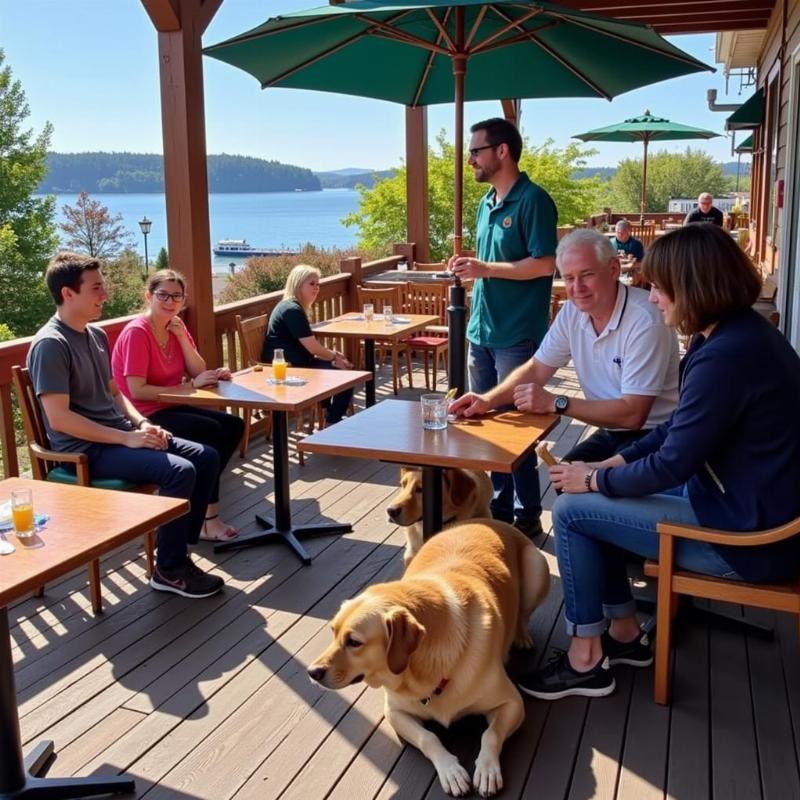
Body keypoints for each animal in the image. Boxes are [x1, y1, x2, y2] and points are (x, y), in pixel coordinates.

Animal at [306, 520, 552, 792]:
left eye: (354, 642)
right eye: (333, 631)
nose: (312, 672)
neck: (421, 671)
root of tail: (485, 521)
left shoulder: (512, 703)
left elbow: (491, 733)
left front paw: (487, 768)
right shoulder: (394, 712)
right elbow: (428, 737)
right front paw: (450, 770)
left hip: (537, 568)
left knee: (523, 614)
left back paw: (521, 636)